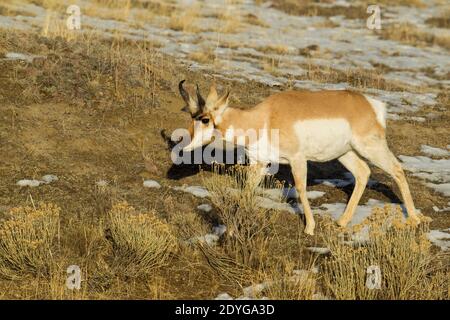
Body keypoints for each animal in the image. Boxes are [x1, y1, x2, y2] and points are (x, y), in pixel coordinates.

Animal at [178, 80, 422, 235]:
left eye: (205, 119)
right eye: (191, 117)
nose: (183, 148)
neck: (265, 117)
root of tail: (369, 103)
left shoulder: (297, 160)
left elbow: (301, 189)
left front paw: (309, 228)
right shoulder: (259, 164)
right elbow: (247, 189)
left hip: (371, 148)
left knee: (396, 169)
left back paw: (415, 219)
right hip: (346, 154)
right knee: (363, 173)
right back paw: (342, 221)